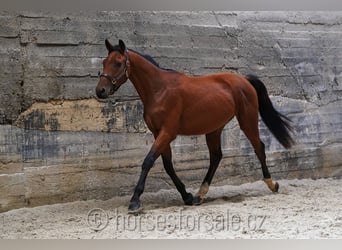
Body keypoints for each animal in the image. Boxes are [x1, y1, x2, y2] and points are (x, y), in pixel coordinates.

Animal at [96, 39, 294, 213]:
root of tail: (244, 79)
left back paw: (272, 184)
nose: (100, 91)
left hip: (247, 121)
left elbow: (148, 161)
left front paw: (135, 201)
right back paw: (200, 194)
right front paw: (187, 196)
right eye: (105, 62)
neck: (159, 90)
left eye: (118, 63)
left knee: (259, 147)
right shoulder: (158, 133)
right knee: (216, 156)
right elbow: (168, 166)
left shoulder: (167, 133)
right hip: (214, 128)